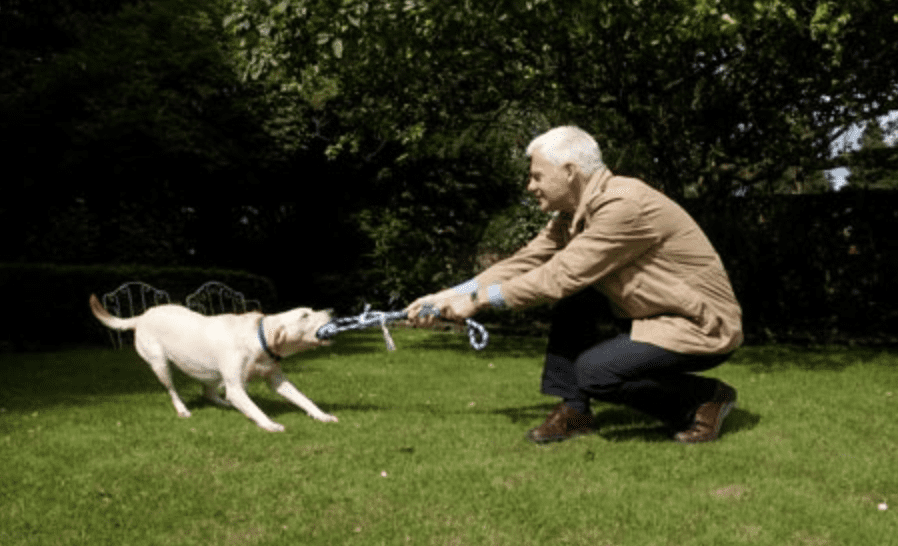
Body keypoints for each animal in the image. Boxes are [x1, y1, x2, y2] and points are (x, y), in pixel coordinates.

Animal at [90, 294, 336, 430]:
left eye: (311, 310)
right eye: (304, 315)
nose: (332, 310)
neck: (257, 338)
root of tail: (142, 316)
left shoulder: (277, 380)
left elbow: (304, 400)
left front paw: (322, 415)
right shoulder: (236, 387)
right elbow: (254, 409)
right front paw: (269, 424)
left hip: (209, 371)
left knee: (208, 392)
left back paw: (223, 403)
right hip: (160, 364)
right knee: (173, 391)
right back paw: (182, 409)